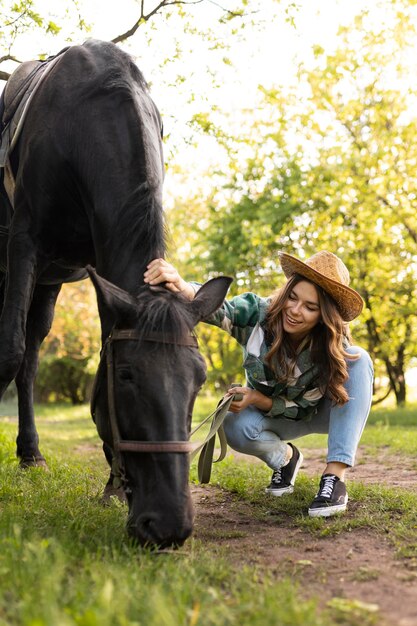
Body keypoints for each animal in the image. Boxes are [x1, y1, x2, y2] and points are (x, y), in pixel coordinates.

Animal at [0, 40, 231, 544]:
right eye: (126, 377)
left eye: (200, 379)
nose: (168, 524)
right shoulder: (23, 242)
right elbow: (7, 351)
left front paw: (111, 486)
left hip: (48, 284)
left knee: (31, 360)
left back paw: (31, 454)